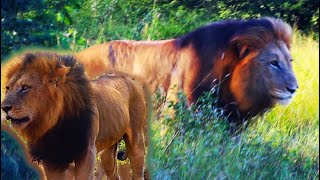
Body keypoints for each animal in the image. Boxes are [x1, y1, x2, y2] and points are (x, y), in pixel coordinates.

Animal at [0, 51, 149, 179]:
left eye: (25, 88)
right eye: (8, 88)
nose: (4, 107)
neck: (53, 124)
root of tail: (130, 78)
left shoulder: (86, 153)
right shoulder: (51, 157)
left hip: (136, 141)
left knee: (138, 172)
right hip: (108, 150)